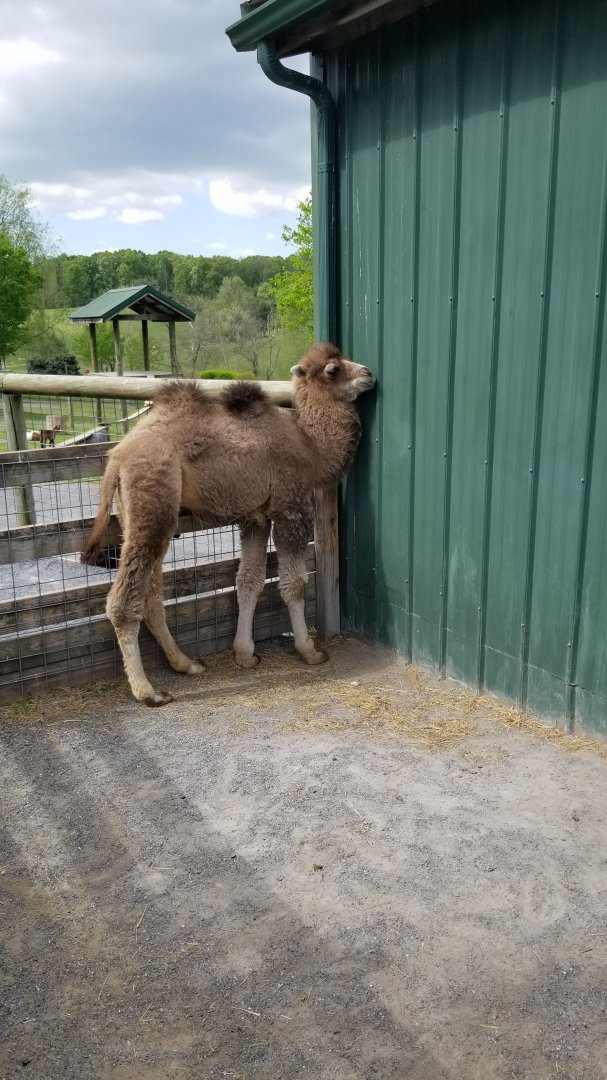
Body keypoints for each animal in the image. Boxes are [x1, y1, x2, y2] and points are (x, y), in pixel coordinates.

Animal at [81, 343, 375, 705]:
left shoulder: (256, 518)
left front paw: (245, 654)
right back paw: (148, 691)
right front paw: (310, 650)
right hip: (152, 499)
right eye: (333, 370)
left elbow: (249, 581)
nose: (368, 374)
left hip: (138, 515)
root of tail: (117, 458)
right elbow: (294, 584)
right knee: (124, 601)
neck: (311, 449)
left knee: (151, 594)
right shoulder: (290, 508)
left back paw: (186, 664)